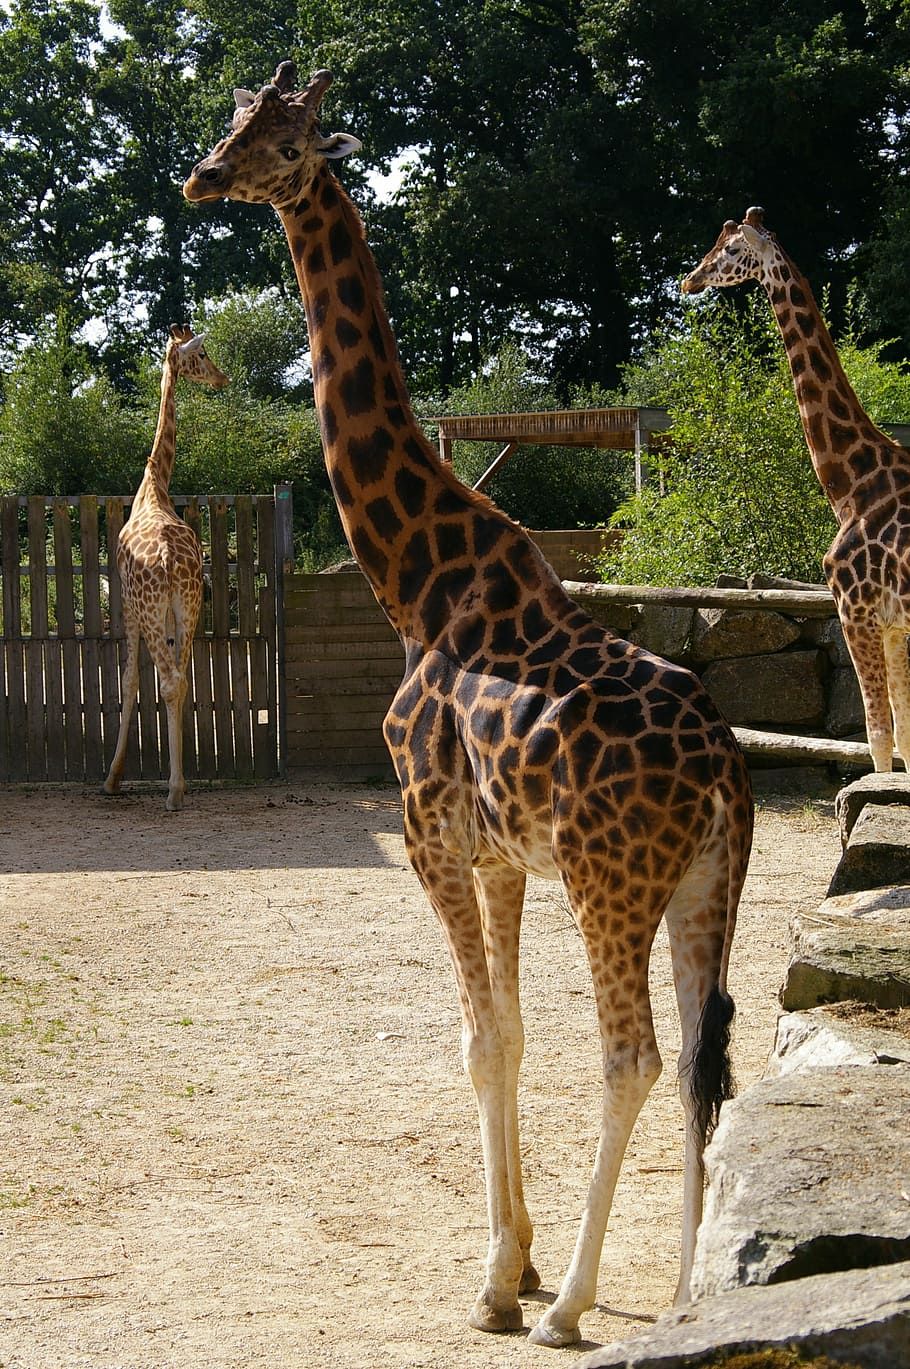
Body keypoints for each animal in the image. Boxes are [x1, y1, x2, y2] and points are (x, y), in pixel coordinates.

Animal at [103, 324, 228, 811]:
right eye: (203, 355)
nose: (222, 378)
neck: (154, 484)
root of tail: (171, 561)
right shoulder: (174, 613)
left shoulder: (130, 608)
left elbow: (129, 683)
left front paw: (113, 778)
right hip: (190, 606)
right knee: (183, 679)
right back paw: (182, 784)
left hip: (154, 610)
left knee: (170, 681)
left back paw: (173, 792)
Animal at [184, 63, 754, 1345]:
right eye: (234, 118)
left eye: (285, 139)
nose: (201, 176)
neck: (418, 580)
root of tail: (719, 772)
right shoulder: (500, 856)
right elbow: (510, 1035)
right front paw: (518, 1257)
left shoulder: (427, 834)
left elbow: (479, 1038)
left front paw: (505, 1284)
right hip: (703, 886)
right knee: (702, 1056)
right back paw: (684, 1295)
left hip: (612, 881)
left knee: (635, 1057)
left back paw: (576, 1309)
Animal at [683, 207, 910, 773]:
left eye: (728, 249)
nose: (690, 278)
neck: (850, 484)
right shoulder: (892, 624)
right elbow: (905, 735)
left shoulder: (856, 610)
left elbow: (879, 737)